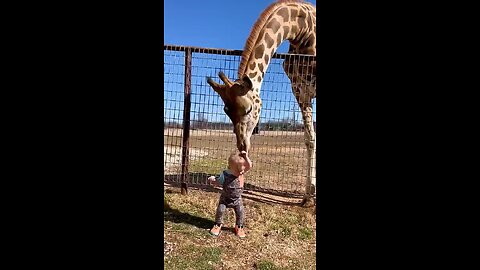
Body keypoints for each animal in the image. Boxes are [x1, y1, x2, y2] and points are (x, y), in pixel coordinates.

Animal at [205, 0, 316, 206]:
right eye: (226, 111)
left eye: (249, 109)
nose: (242, 146)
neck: (303, 31)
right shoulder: (300, 91)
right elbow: (309, 139)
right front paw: (308, 196)